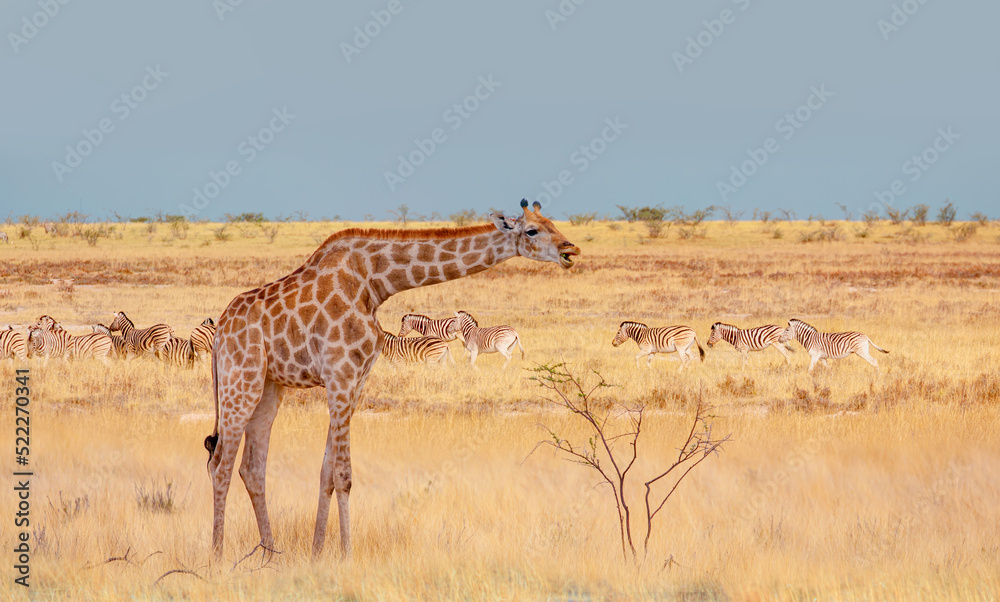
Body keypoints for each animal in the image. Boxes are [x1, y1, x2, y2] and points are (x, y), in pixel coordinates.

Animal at [205, 200, 579, 559]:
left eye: (553, 223)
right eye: (531, 231)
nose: (571, 249)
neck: (373, 283)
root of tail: (221, 331)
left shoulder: (355, 380)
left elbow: (327, 473)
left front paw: (317, 552)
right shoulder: (340, 374)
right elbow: (343, 475)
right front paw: (346, 555)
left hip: (268, 386)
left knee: (251, 468)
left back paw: (271, 554)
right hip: (240, 378)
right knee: (220, 464)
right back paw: (218, 556)